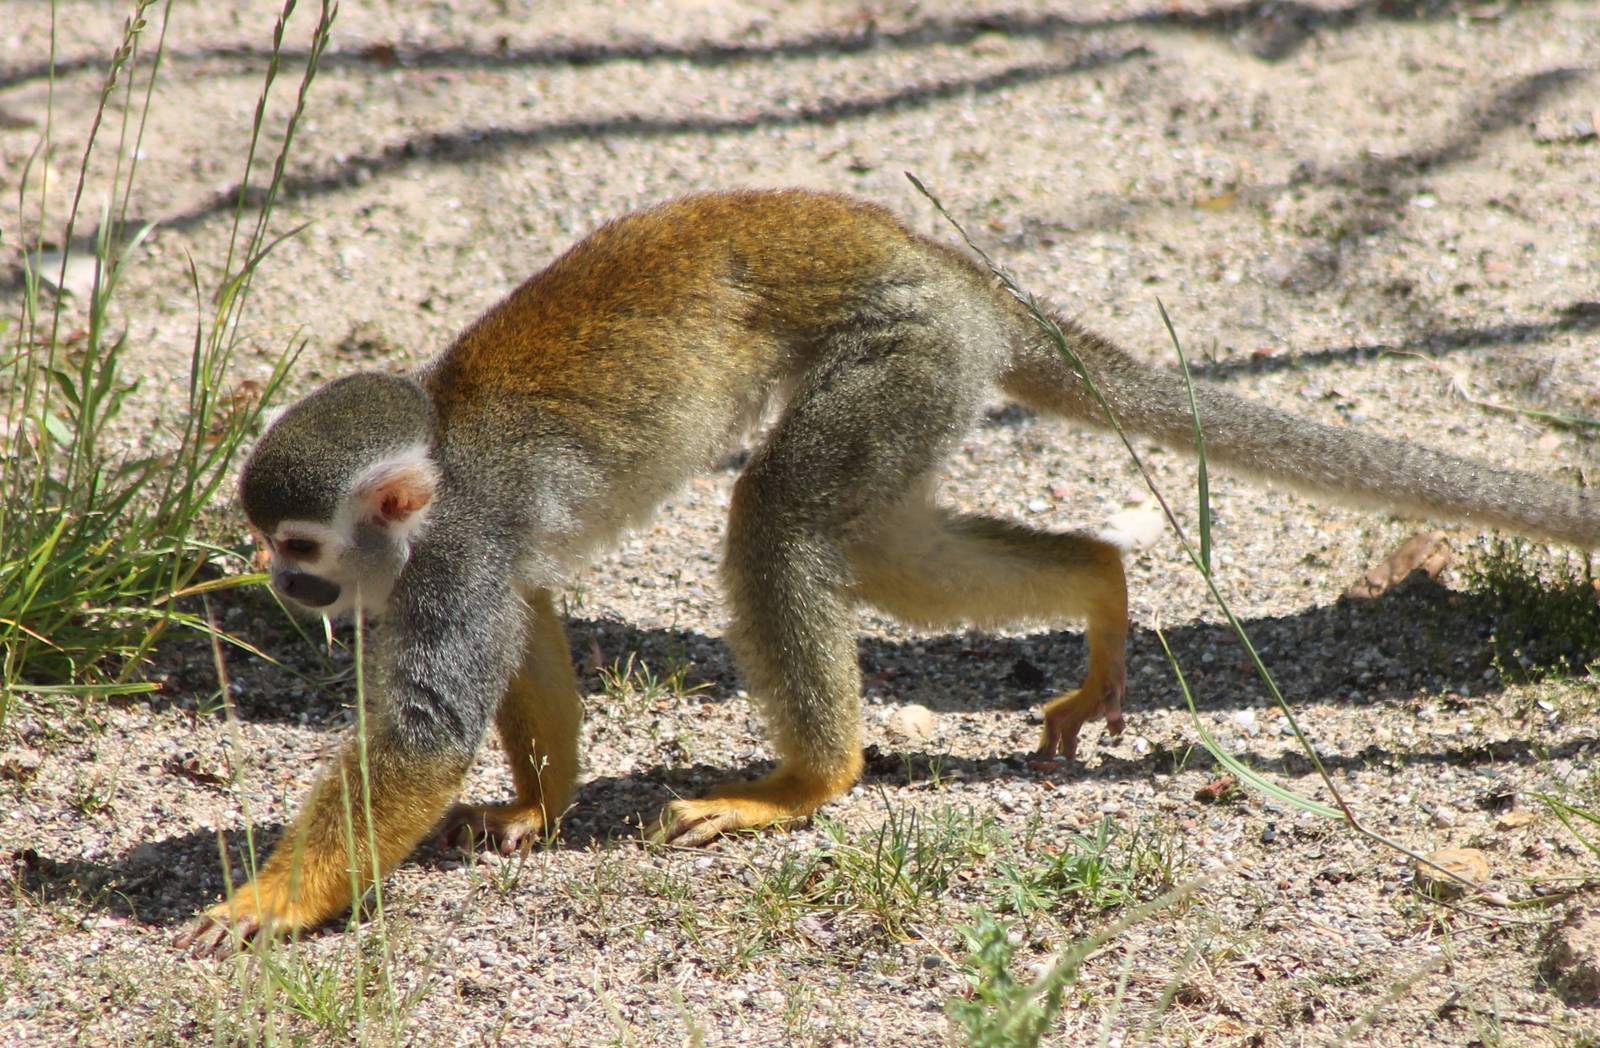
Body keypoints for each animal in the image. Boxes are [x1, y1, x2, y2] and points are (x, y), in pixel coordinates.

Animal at [175, 188, 1599, 956]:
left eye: (299, 547)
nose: (287, 593)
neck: (435, 477)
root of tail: (959, 274)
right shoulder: (478, 561)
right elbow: (528, 620)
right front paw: (535, 807)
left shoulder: (456, 550)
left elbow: (424, 728)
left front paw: (270, 901)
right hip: (928, 376)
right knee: (872, 536)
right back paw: (1098, 588)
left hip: (895, 349)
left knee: (778, 519)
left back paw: (811, 780)